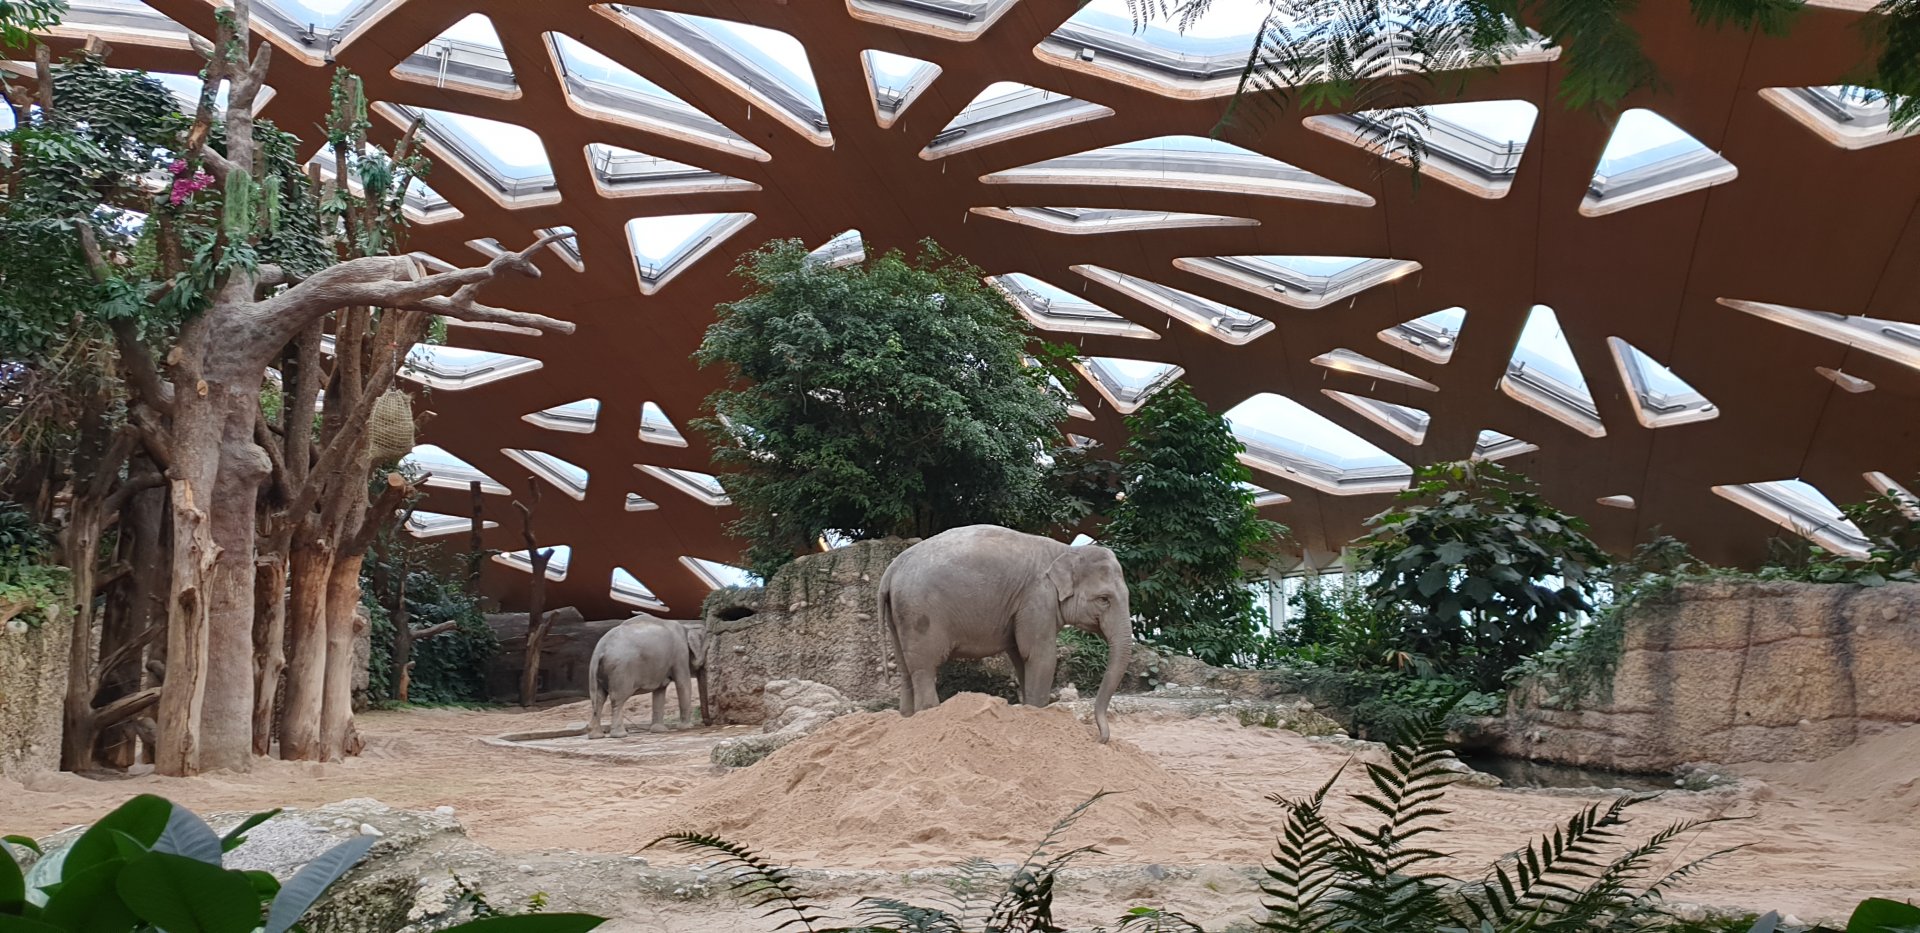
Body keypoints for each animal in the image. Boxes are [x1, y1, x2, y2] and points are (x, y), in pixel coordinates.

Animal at [878, 524, 1132, 742]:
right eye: (1104, 599)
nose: (1099, 738)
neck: (1065, 551)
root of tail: (890, 571)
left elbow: (1021, 657)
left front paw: (1028, 710)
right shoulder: (1037, 598)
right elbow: (1040, 656)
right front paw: (1038, 714)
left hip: (898, 617)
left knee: (906, 670)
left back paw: (907, 719)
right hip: (919, 615)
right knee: (924, 669)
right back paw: (928, 714)